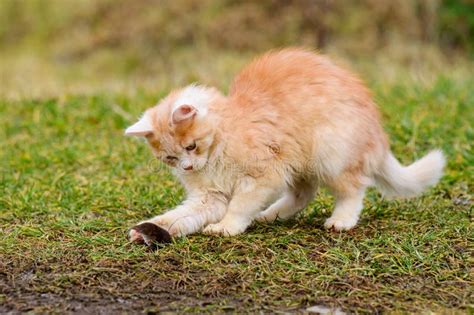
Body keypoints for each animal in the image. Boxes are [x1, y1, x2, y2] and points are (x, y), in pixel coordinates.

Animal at [125, 47, 444, 242]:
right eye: (171, 158)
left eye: (191, 147)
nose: (188, 167)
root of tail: (377, 134)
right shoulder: (210, 196)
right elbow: (182, 215)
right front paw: (154, 228)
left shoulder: (263, 176)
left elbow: (239, 205)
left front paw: (227, 227)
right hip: (300, 161)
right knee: (304, 193)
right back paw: (269, 216)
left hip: (330, 153)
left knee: (354, 189)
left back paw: (341, 220)